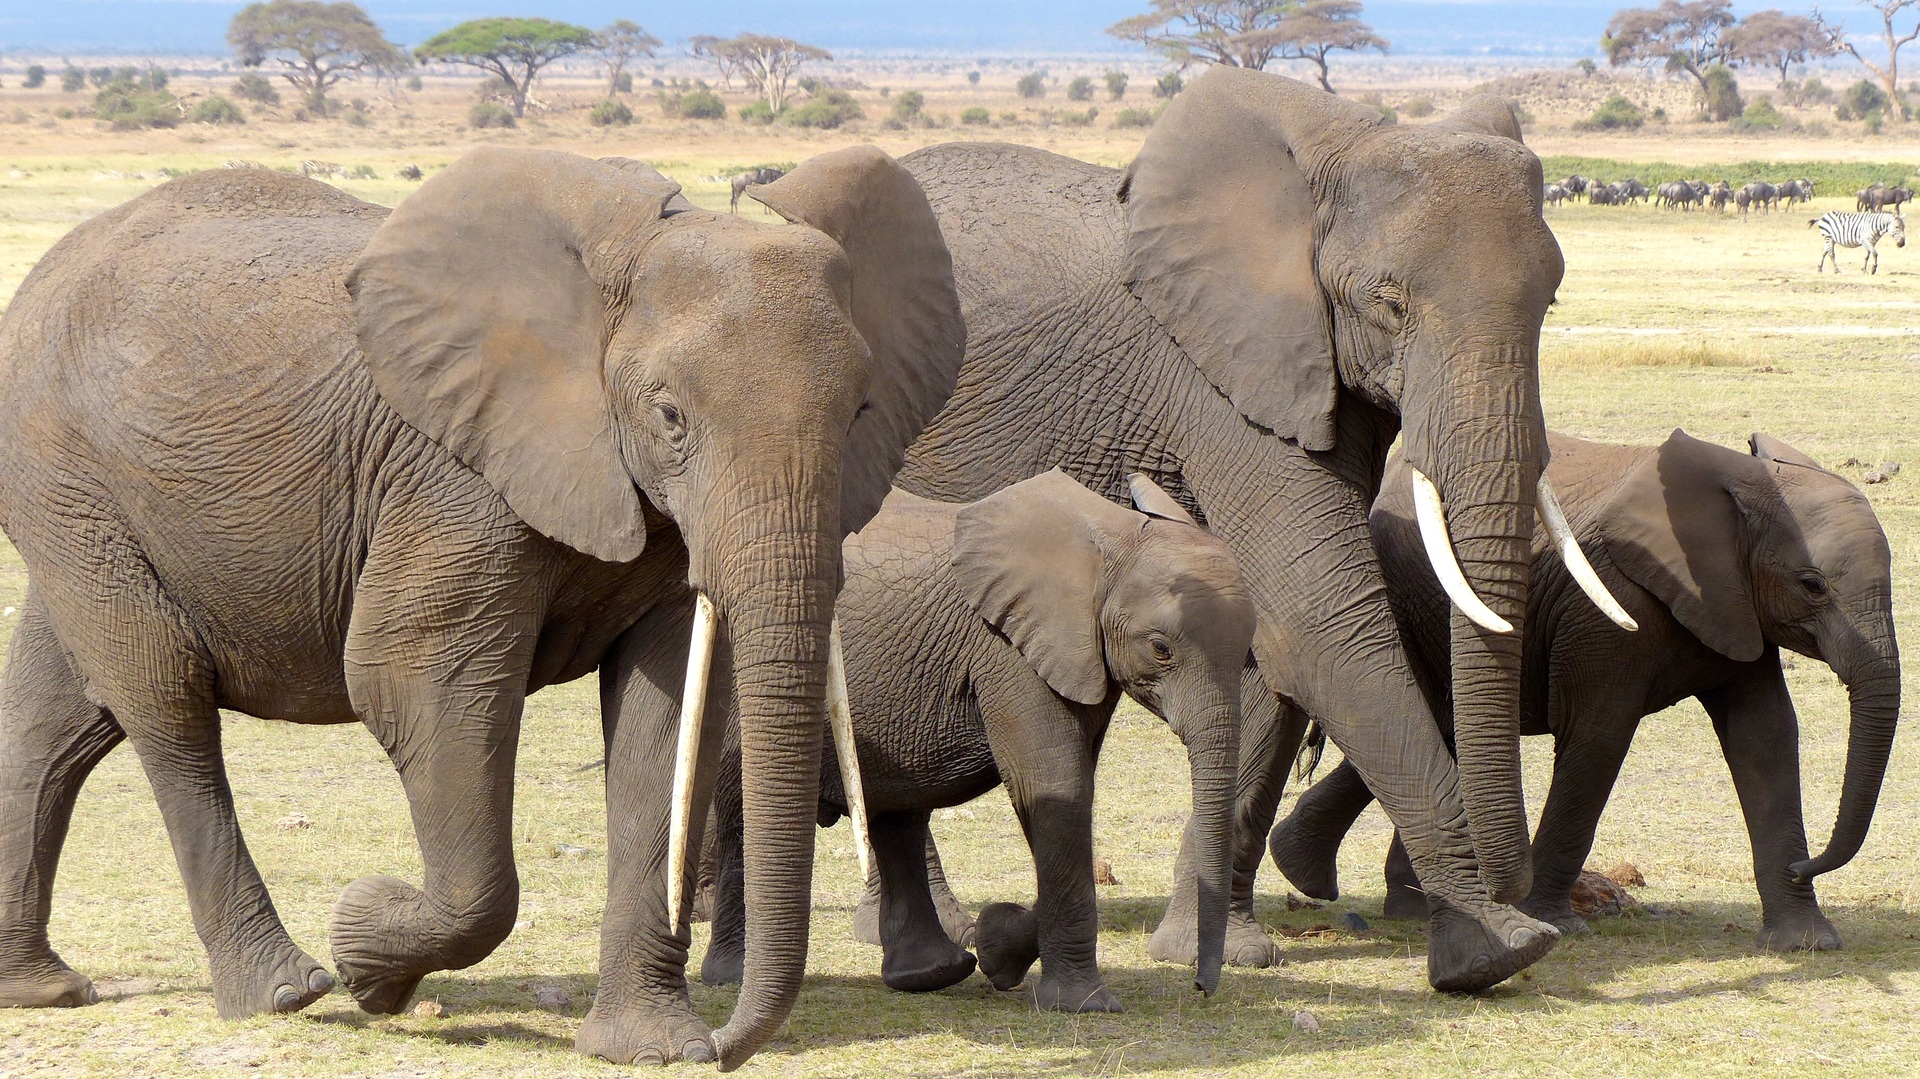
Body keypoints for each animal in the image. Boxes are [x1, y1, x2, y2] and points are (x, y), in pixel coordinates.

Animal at [0, 144, 965, 1071]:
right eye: (670, 416)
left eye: (862, 411)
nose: (728, 1047)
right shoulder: (453, 478)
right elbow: (414, 679)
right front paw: (367, 950)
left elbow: (661, 715)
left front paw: (652, 1048)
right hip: (70, 479)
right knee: (164, 703)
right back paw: (286, 989)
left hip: (72, 505)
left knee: (57, 719)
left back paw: (42, 989)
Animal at [697, 469, 1254, 1011]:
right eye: (1160, 648)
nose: (1201, 989)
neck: (1110, 538)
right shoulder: (1009, 650)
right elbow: (1056, 786)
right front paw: (1084, 1005)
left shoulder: (1079, 655)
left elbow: (1065, 792)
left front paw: (997, 948)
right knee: (744, 810)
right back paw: (730, 976)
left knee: (897, 814)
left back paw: (932, 973)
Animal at [869, 67, 1647, 992]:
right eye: (1389, 304)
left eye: (1551, 301)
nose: (1515, 888)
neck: (1342, 150)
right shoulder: (1219, 379)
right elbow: (1317, 615)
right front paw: (1498, 950)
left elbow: (1266, 637)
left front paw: (1216, 950)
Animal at [1269, 431, 1900, 951]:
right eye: (1812, 586)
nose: (1805, 865)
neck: (1737, 484)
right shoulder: (1606, 610)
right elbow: (1599, 737)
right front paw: (1558, 925)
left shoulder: (1737, 607)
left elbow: (1765, 737)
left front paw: (1807, 943)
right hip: (1406, 598)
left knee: (1437, 727)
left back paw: (1373, 894)